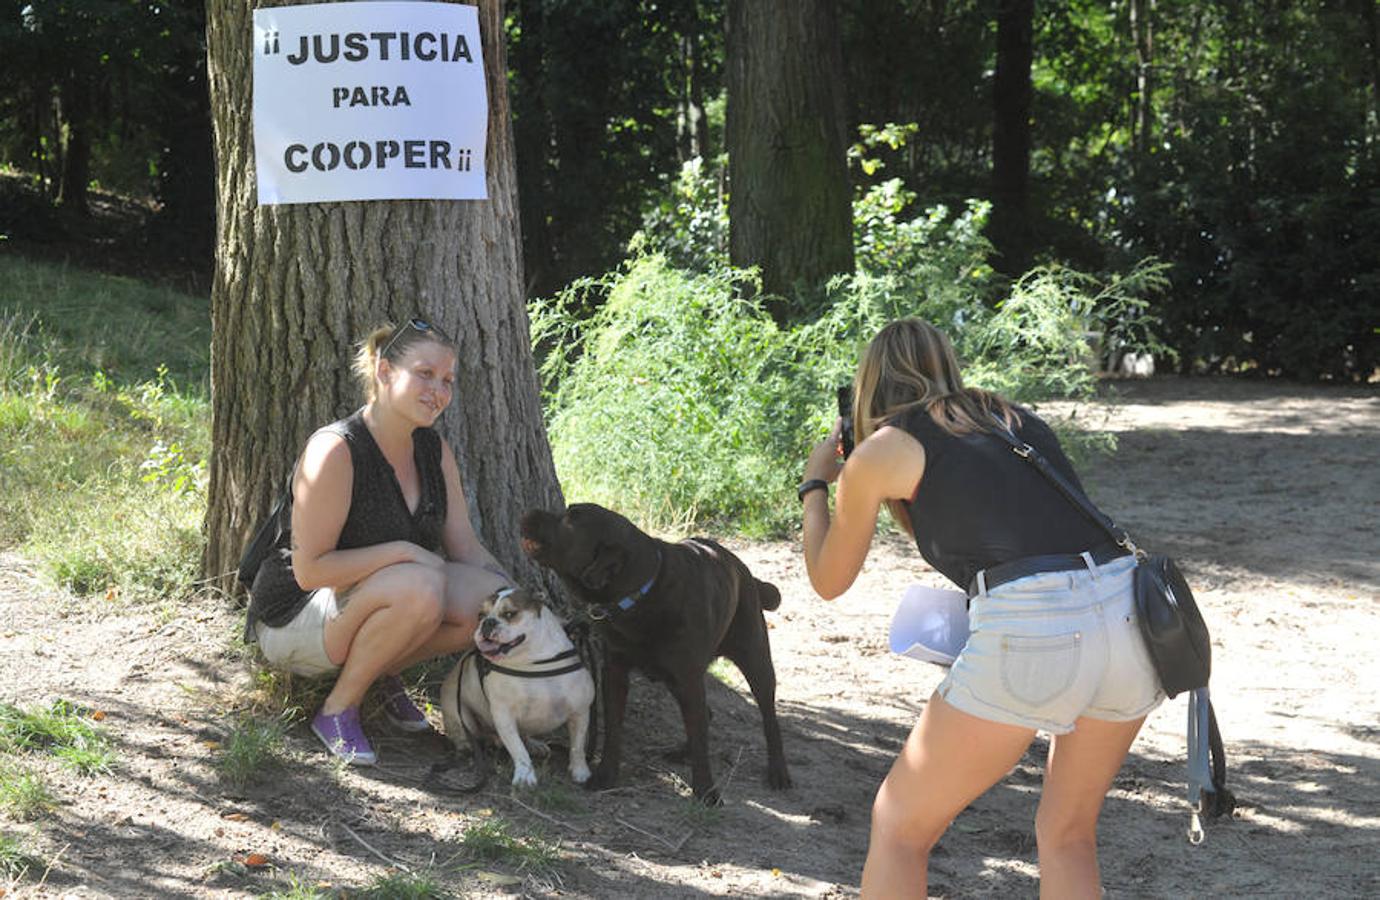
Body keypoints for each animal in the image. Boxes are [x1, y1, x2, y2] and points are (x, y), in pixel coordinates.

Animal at [438, 582, 596, 789]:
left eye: (509, 614)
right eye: (480, 615)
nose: (487, 622)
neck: (532, 661)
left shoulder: (580, 712)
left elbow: (577, 746)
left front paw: (580, 770)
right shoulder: (504, 716)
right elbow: (518, 749)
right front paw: (524, 775)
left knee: (525, 736)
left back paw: (535, 745)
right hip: (459, 714)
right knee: (468, 735)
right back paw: (470, 747)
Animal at [521, 502, 794, 806]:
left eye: (571, 517)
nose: (529, 512)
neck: (641, 593)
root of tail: (746, 572)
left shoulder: (688, 679)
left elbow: (701, 740)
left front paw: (706, 791)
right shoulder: (616, 673)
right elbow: (614, 729)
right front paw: (605, 775)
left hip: (753, 656)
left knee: (768, 717)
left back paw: (778, 771)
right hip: (675, 678)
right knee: (705, 714)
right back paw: (683, 751)